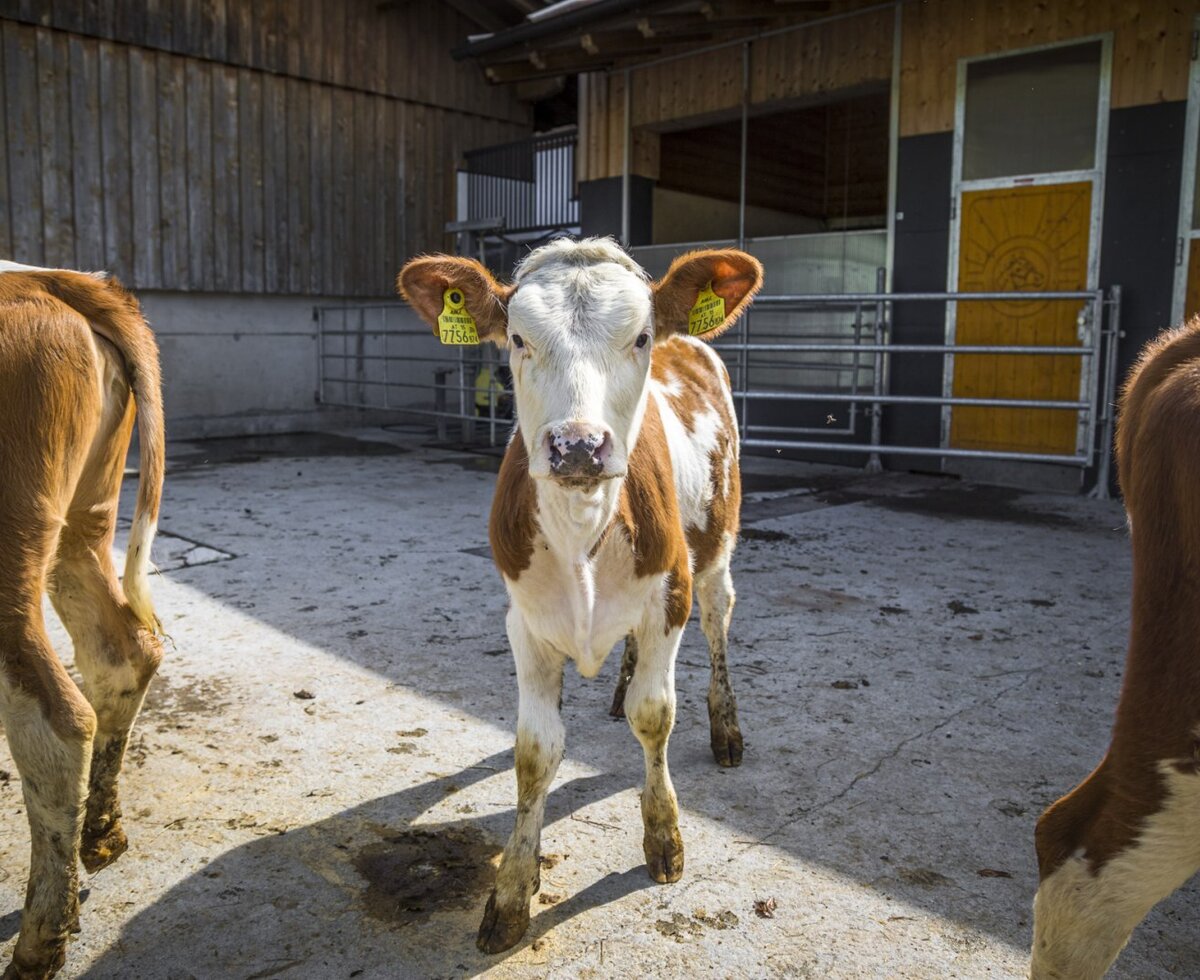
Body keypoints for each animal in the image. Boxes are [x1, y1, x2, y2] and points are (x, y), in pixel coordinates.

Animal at [399, 237, 761, 953]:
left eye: (641, 337)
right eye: (516, 338)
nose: (577, 446)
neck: (582, 524)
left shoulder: (669, 599)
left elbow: (657, 716)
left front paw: (664, 838)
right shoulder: (525, 621)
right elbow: (535, 751)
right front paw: (513, 889)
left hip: (717, 553)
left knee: (719, 623)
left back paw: (726, 726)